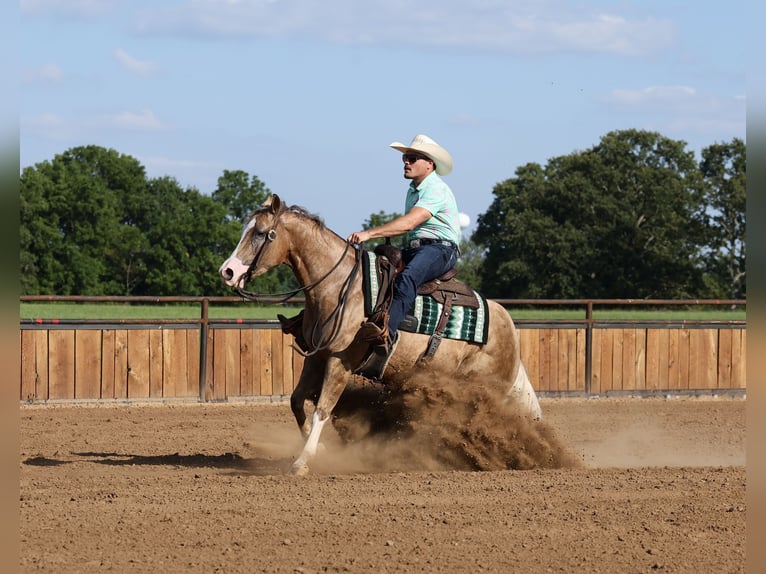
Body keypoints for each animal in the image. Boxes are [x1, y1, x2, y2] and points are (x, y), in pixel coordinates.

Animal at [218, 194, 541, 475]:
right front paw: (320, 449)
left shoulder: (341, 361)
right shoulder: (317, 357)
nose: (228, 272)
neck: (339, 287)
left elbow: (322, 408)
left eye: (260, 233)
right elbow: (297, 401)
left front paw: (302, 461)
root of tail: (508, 326)